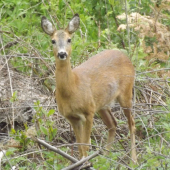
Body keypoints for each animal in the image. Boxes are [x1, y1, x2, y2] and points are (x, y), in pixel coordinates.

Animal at [40, 13, 137, 163]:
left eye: (69, 39)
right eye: (53, 41)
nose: (62, 54)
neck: (73, 88)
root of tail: (126, 57)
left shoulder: (88, 112)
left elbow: (85, 145)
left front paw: (86, 163)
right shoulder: (72, 117)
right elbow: (80, 147)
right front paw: (82, 163)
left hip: (126, 92)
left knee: (131, 123)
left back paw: (133, 161)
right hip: (102, 104)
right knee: (113, 124)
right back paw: (105, 159)